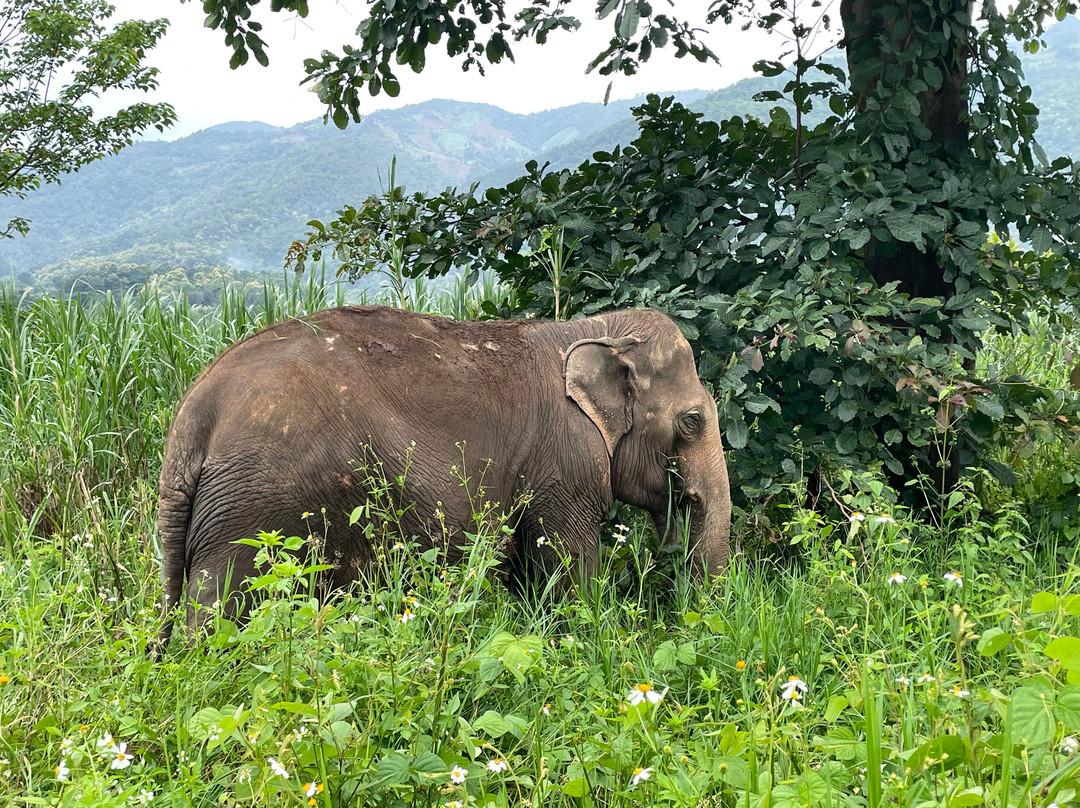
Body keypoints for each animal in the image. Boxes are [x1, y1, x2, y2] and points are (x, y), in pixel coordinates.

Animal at [156, 305, 731, 644]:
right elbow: (568, 567)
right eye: (693, 421)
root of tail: (191, 416)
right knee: (221, 605)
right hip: (252, 512)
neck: (595, 329)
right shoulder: (565, 460)